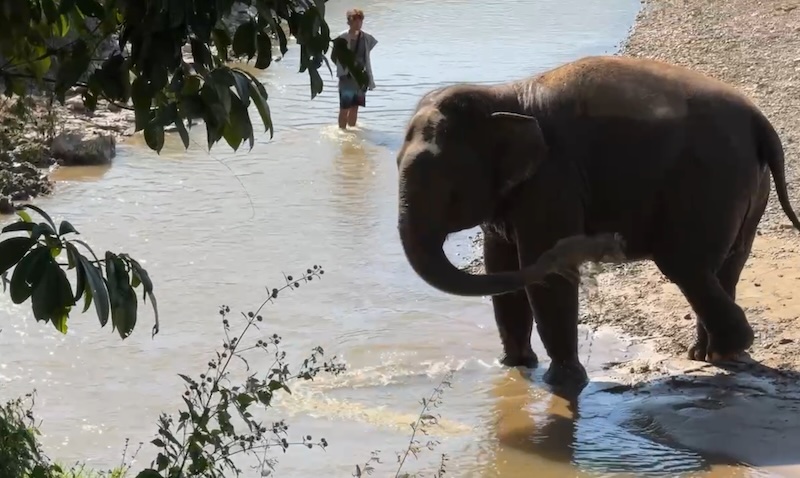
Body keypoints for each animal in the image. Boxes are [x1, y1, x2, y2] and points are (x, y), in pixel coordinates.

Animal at [395, 55, 800, 388]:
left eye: (444, 184)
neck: (502, 96)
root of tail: (760, 121)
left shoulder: (553, 180)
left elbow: (545, 276)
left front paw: (562, 382)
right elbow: (501, 265)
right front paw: (514, 366)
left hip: (711, 183)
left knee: (687, 267)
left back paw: (726, 349)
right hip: (748, 186)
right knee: (725, 265)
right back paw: (711, 354)